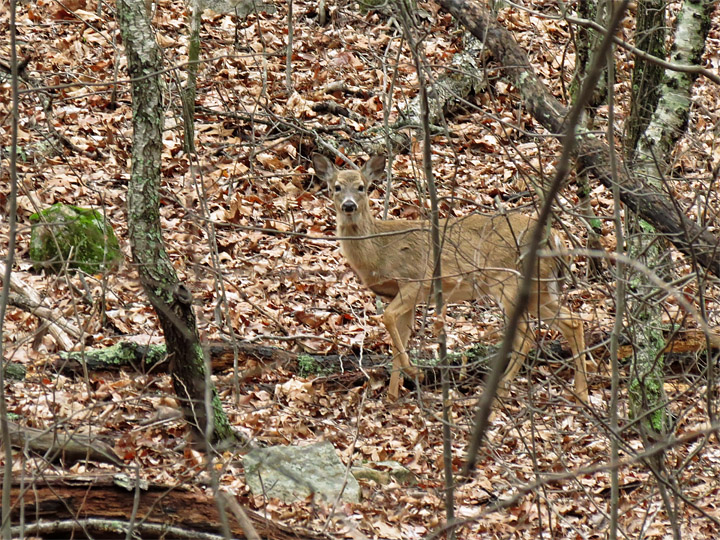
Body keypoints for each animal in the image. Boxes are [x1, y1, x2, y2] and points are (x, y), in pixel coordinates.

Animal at [312, 153, 590, 404]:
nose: (349, 205)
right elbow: (398, 339)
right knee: (572, 322)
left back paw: (501, 389)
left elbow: (387, 318)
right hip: (540, 288)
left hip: (508, 282)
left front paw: (415, 373)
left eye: (362, 186)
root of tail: (556, 239)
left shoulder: (416, 280)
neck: (379, 251)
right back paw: (581, 394)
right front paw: (392, 397)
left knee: (527, 335)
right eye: (336, 187)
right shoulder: (401, 295)